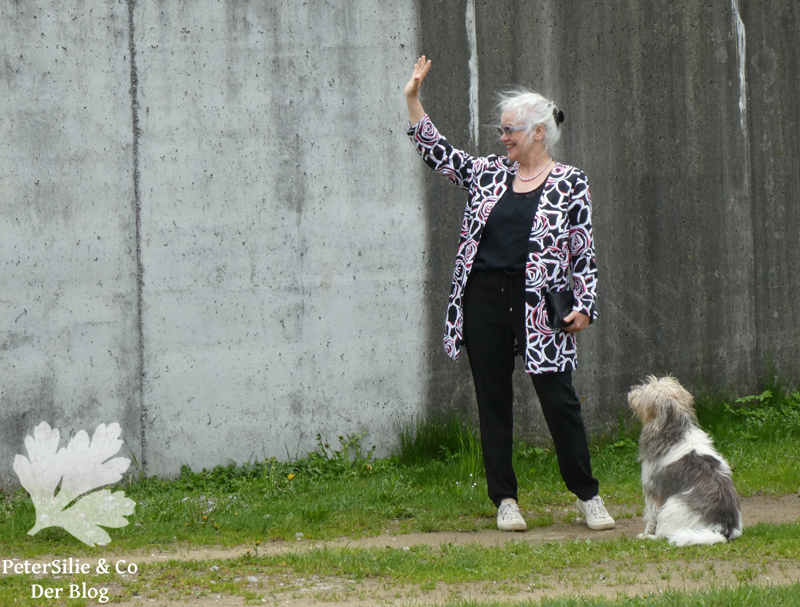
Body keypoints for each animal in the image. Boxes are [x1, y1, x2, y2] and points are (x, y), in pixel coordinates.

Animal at [627, 375, 742, 546]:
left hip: (671, 506)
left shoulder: (652, 489)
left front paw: (646, 533)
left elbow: (650, 516)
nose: (631, 389)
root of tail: (722, 529)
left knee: (664, 535)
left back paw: (649, 537)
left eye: (646, 390)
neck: (674, 435)